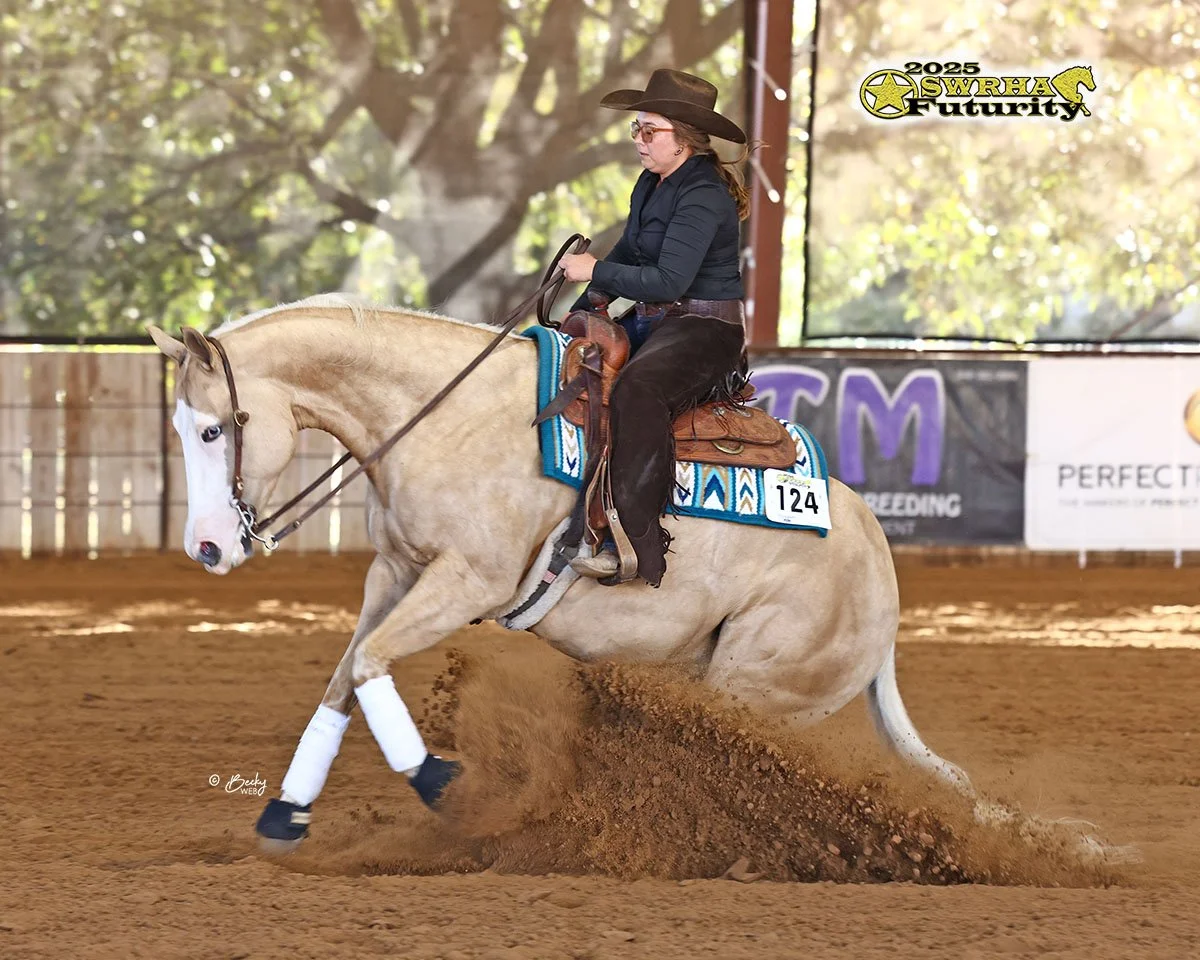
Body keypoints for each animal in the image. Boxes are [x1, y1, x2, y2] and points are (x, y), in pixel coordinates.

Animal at [143, 293, 1108, 861]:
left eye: (214, 428)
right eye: (181, 426)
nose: (208, 549)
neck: (451, 415)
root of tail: (883, 587)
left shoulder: (468, 583)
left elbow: (375, 665)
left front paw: (441, 782)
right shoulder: (397, 572)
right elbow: (345, 677)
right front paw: (285, 816)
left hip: (747, 691)